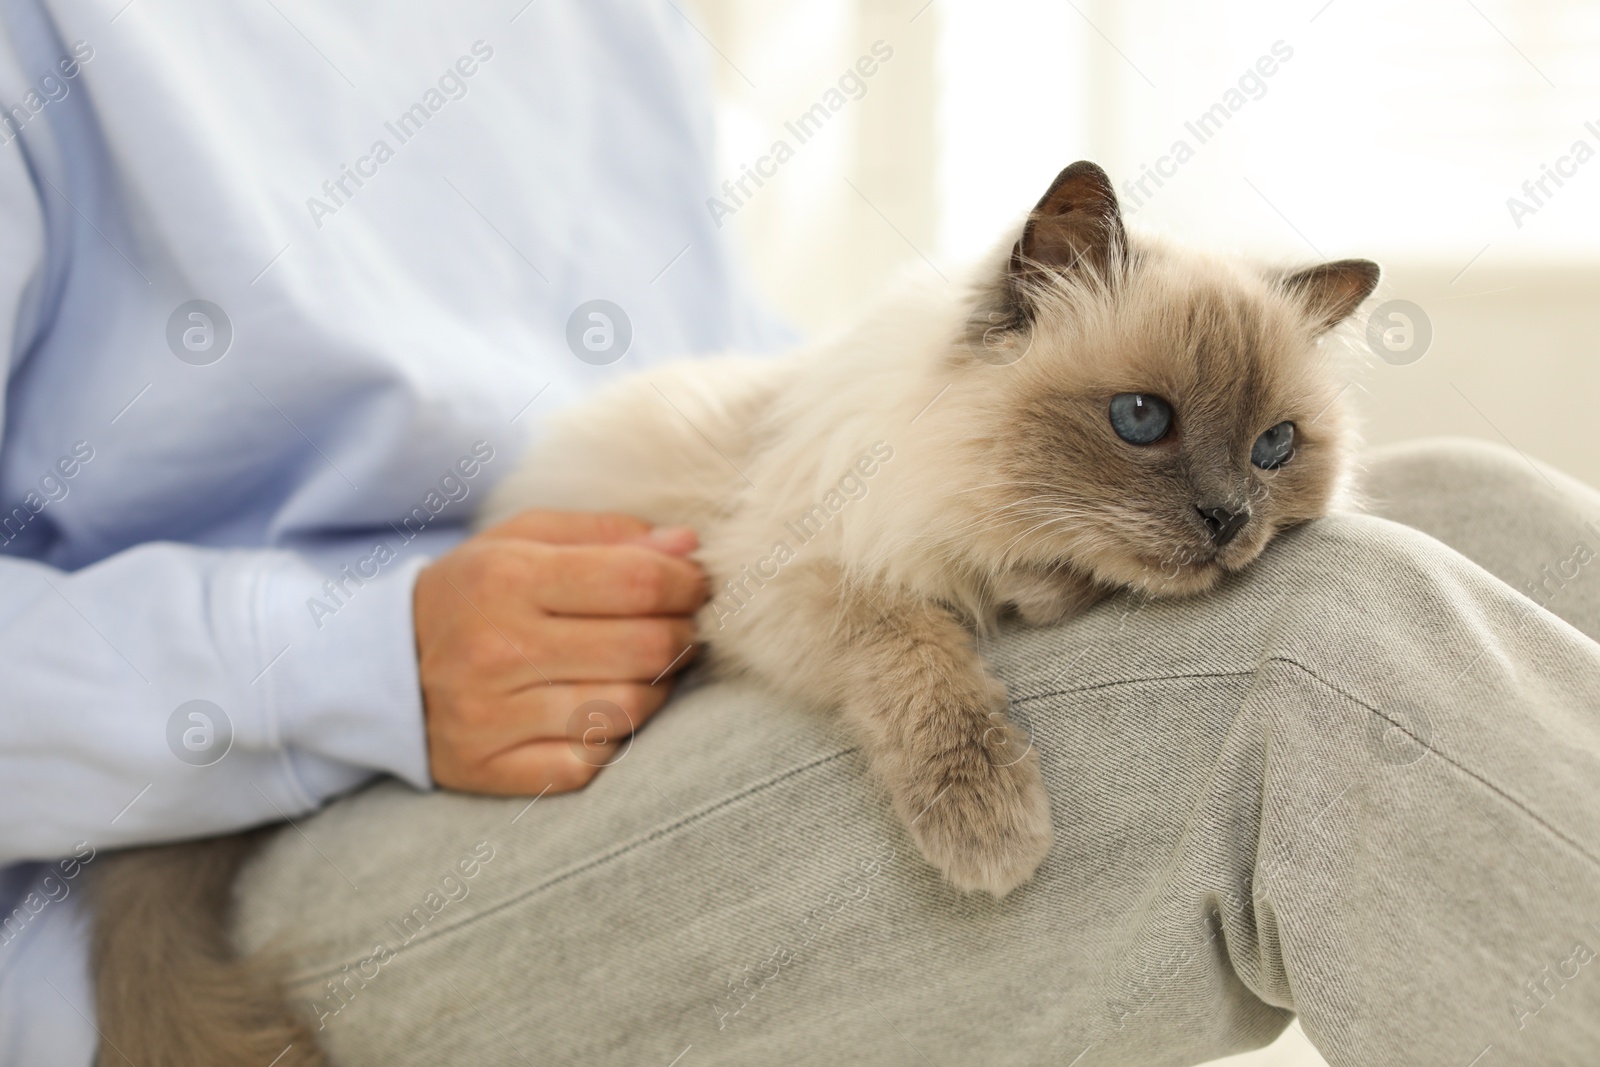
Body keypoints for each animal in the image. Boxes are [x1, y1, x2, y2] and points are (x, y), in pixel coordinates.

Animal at [87, 160, 1382, 1067]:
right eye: (1140, 420)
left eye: (1275, 447)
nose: (1228, 522)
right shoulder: (778, 583)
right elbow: (920, 649)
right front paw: (990, 824)